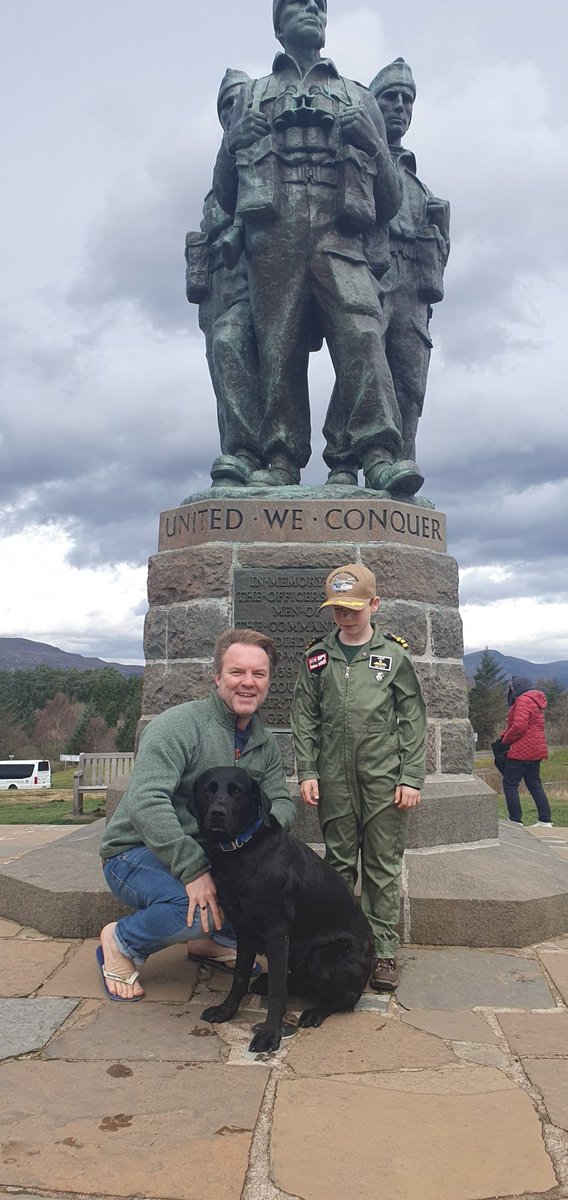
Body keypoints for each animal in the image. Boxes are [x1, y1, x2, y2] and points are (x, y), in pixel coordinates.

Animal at [190, 768, 374, 1051]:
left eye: (237, 792)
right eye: (208, 790)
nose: (217, 813)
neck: (240, 851)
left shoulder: (277, 932)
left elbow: (278, 991)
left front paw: (270, 1035)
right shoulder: (244, 931)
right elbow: (239, 978)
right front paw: (225, 1011)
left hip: (324, 956)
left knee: (346, 1000)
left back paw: (315, 1012)